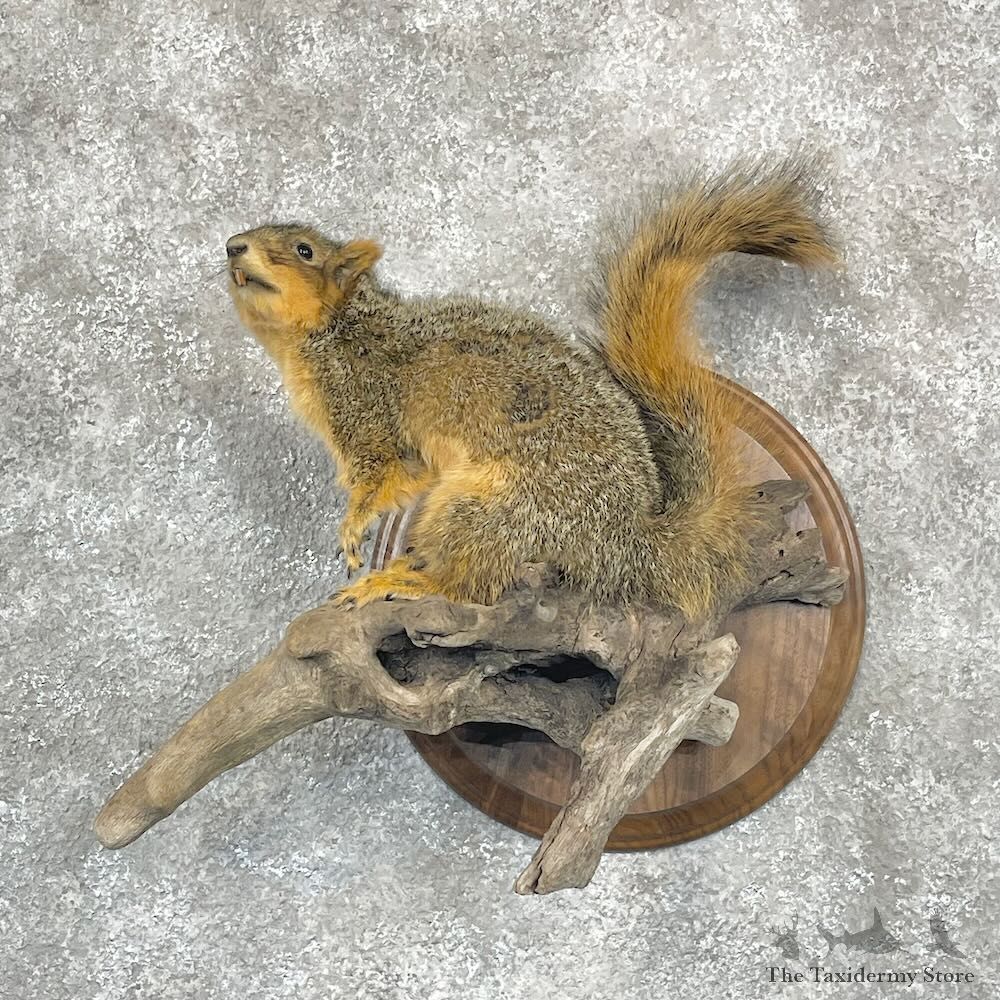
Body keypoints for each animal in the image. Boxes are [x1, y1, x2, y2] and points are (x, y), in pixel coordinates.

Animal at [225, 160, 836, 618]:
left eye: (304, 251)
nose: (232, 246)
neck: (335, 330)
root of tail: (625, 537)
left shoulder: (367, 411)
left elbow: (385, 475)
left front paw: (353, 528)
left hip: (486, 508)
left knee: (474, 587)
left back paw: (407, 582)